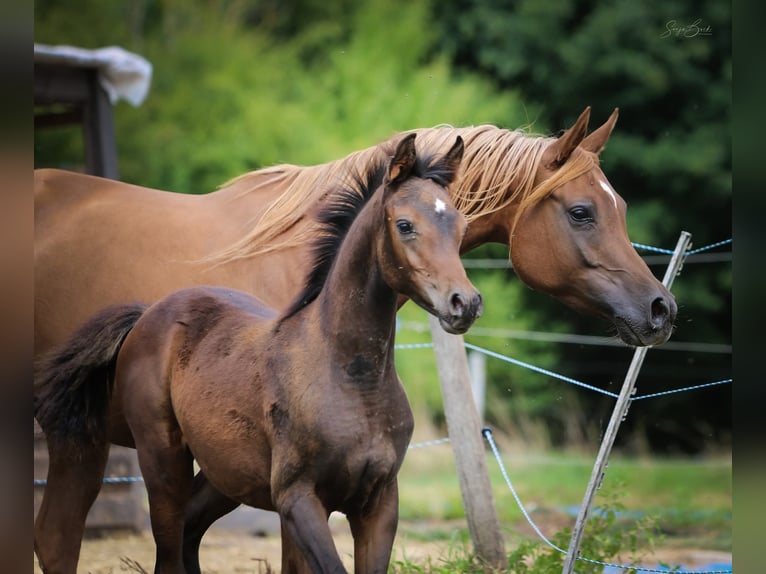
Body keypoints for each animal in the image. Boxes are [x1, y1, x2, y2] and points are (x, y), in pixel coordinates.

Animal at [34, 134, 482, 574]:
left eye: (460, 224)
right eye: (405, 225)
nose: (465, 303)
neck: (353, 379)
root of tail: (147, 313)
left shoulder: (380, 502)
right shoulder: (297, 498)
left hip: (224, 475)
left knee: (185, 534)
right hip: (162, 463)